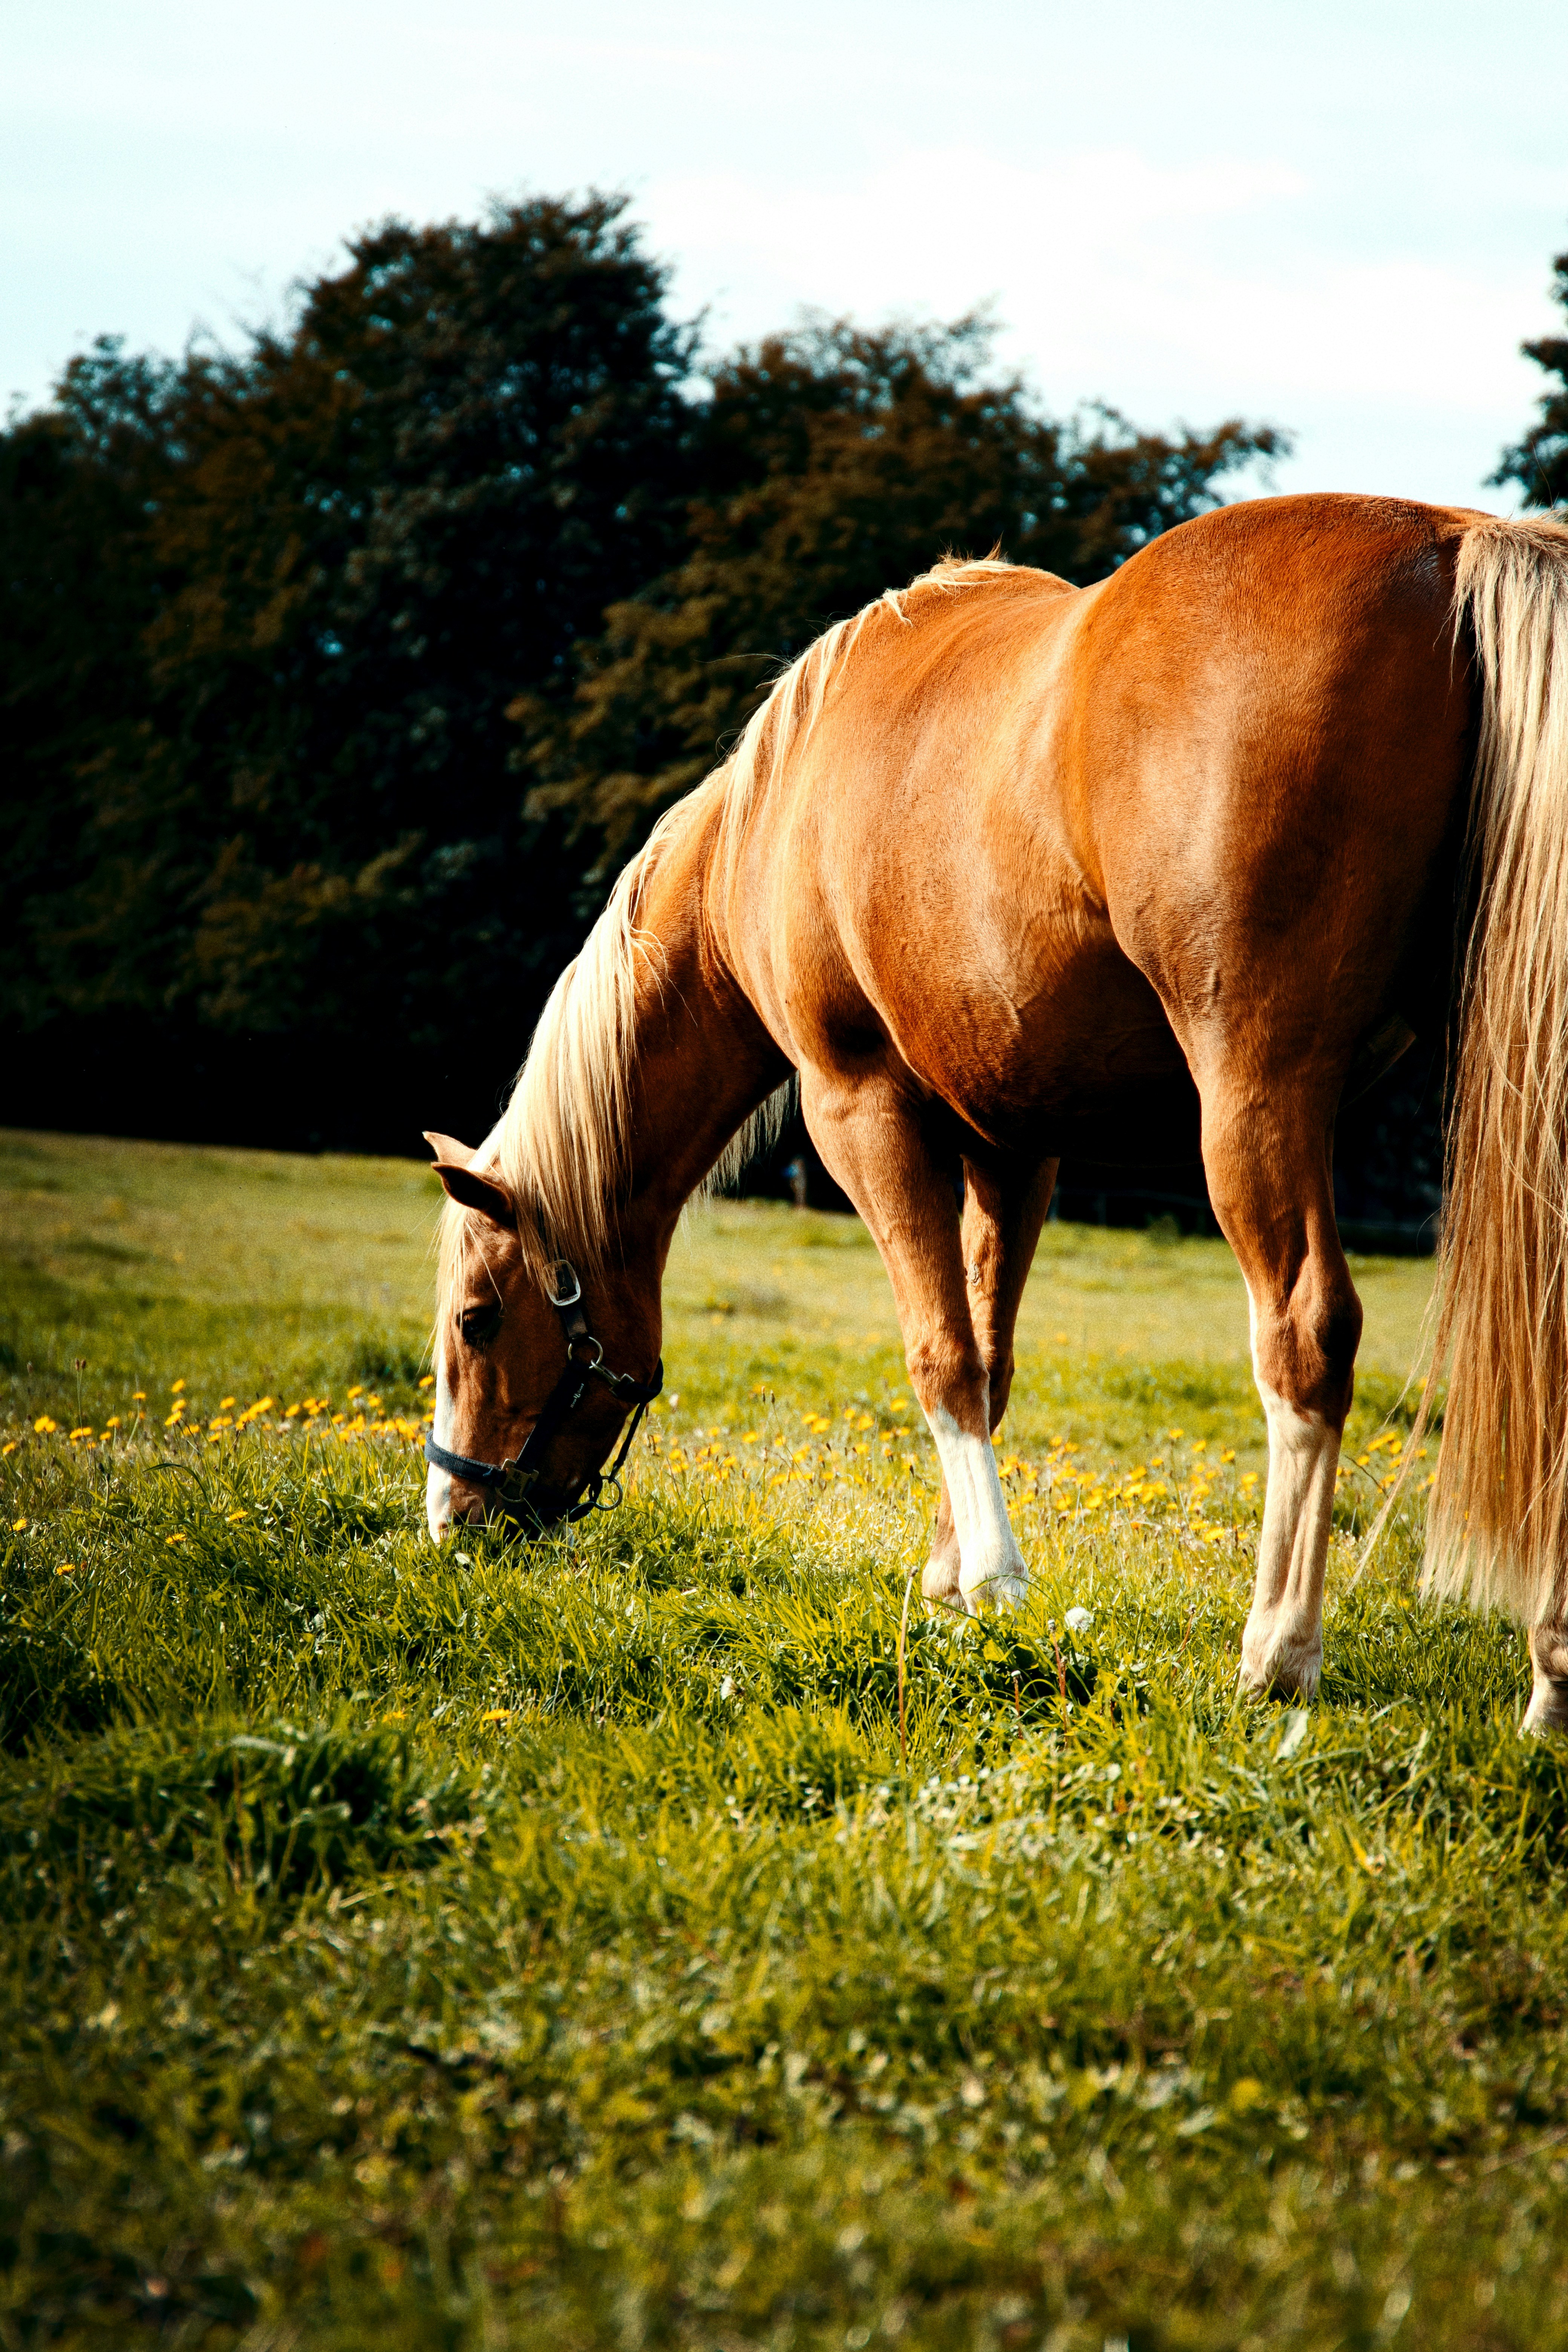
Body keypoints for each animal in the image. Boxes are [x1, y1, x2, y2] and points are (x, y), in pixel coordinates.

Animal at [424, 492, 1568, 1731]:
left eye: (477, 1321)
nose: (450, 1519)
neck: (773, 813)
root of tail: (1451, 543)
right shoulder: (1013, 1143)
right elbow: (988, 1350)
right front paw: (951, 1575)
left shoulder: (860, 1108)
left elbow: (938, 1353)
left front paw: (995, 1582)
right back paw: (1550, 1677)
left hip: (1256, 1094)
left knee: (1303, 1334)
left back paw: (1278, 1648)